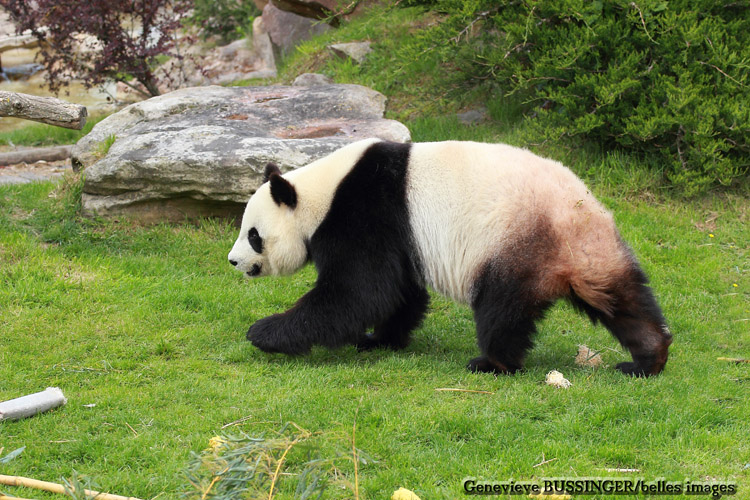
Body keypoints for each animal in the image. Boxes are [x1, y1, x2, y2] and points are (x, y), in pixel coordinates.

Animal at [229, 139, 676, 376]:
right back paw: (647, 357)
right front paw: (381, 340)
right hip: (591, 253)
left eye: (253, 235)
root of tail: (576, 217)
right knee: (621, 297)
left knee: (502, 309)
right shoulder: (400, 236)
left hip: (513, 248)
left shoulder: (365, 212)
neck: (321, 192)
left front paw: (264, 332)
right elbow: (400, 293)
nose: (233, 261)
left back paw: (492, 362)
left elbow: (358, 293)